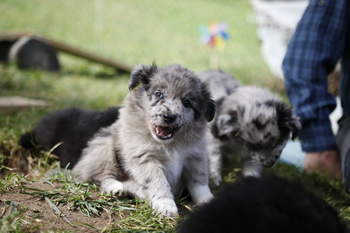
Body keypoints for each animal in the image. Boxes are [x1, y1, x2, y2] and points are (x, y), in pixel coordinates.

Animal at [21, 63, 216, 217]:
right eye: (159, 94)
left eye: (187, 102)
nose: (169, 117)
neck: (171, 143)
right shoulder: (144, 158)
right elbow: (158, 182)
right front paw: (166, 205)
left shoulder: (195, 156)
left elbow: (200, 182)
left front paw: (208, 200)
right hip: (104, 147)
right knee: (99, 176)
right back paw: (116, 187)